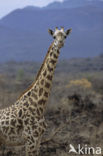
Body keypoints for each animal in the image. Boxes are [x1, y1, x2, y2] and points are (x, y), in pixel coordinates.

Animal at [0, 27, 71, 156]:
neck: (39, 105)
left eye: (65, 36)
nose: (60, 43)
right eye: (54, 36)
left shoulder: (38, 139)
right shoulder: (30, 140)